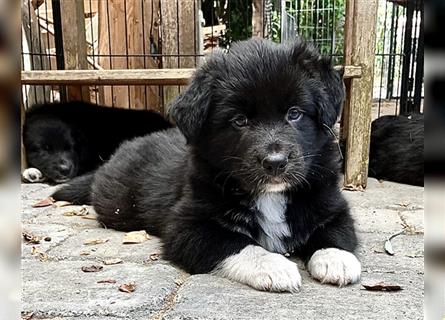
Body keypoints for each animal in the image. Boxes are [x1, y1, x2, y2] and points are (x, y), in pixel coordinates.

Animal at [53, 38, 360, 292]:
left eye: (294, 114)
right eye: (239, 120)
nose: (275, 163)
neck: (270, 196)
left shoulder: (331, 203)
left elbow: (336, 229)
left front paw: (337, 258)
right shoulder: (187, 226)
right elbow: (235, 242)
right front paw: (273, 266)